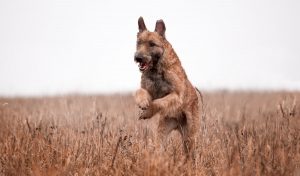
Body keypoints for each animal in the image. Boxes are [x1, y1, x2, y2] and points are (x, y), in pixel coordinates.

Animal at [134, 16, 200, 157]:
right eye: (139, 43)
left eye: (152, 44)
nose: (138, 57)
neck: (156, 69)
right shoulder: (148, 90)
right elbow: (139, 91)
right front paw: (143, 103)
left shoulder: (176, 95)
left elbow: (158, 102)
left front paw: (147, 112)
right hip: (163, 130)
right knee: (159, 145)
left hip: (190, 135)